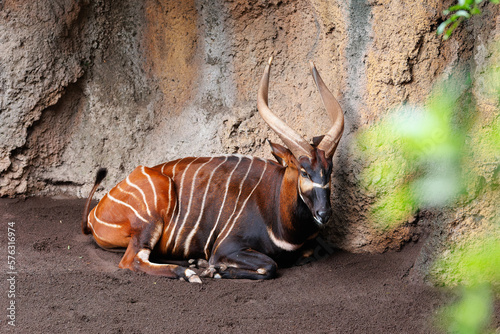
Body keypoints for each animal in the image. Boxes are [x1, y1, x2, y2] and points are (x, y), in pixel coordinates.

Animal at [82, 57, 344, 282]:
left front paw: (205, 265)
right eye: (303, 171)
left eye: (329, 170)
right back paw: (188, 272)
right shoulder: (226, 246)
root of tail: (94, 215)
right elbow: (270, 266)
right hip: (150, 217)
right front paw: (212, 269)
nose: (324, 213)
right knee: (131, 261)